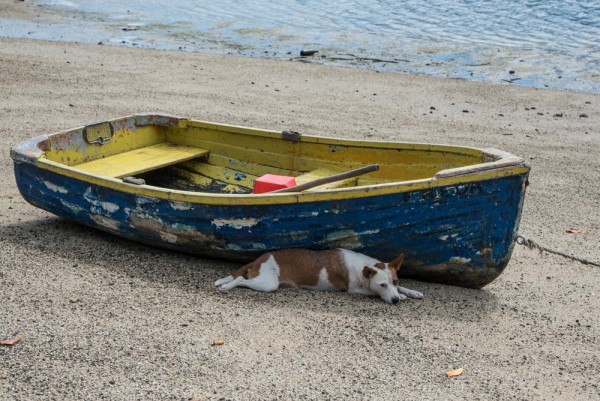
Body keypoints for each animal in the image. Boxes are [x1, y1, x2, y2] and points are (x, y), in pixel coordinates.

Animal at [214, 247, 422, 304]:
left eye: (395, 281)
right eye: (382, 285)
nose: (395, 300)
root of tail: (259, 258)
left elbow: (404, 287)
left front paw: (411, 292)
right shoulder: (354, 289)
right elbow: (371, 292)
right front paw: (402, 296)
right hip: (267, 283)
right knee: (241, 279)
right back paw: (227, 286)